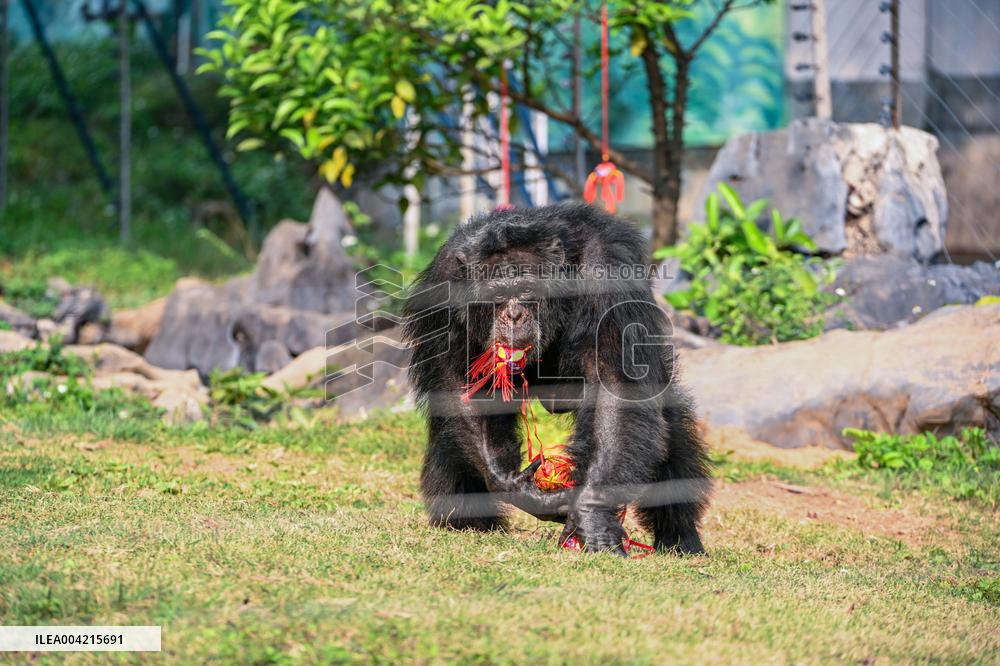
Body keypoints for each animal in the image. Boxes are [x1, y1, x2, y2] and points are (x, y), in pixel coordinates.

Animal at [403, 204, 711, 556]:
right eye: (497, 294)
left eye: (525, 291)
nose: (513, 316)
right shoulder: (444, 285)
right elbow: (460, 382)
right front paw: (514, 486)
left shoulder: (608, 272)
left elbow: (616, 385)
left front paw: (592, 515)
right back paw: (467, 522)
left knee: (667, 426)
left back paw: (679, 537)